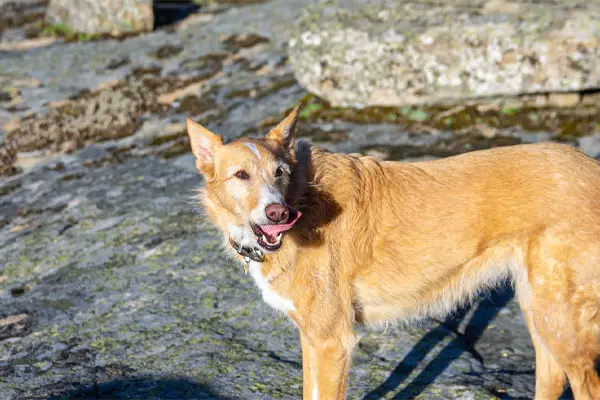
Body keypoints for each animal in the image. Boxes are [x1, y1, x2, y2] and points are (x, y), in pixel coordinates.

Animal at [185, 104, 600, 398]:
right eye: (241, 175)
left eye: (279, 173)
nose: (278, 213)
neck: (304, 195)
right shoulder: (312, 339)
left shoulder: (332, 342)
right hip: (538, 309)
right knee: (552, 380)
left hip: (558, 319)